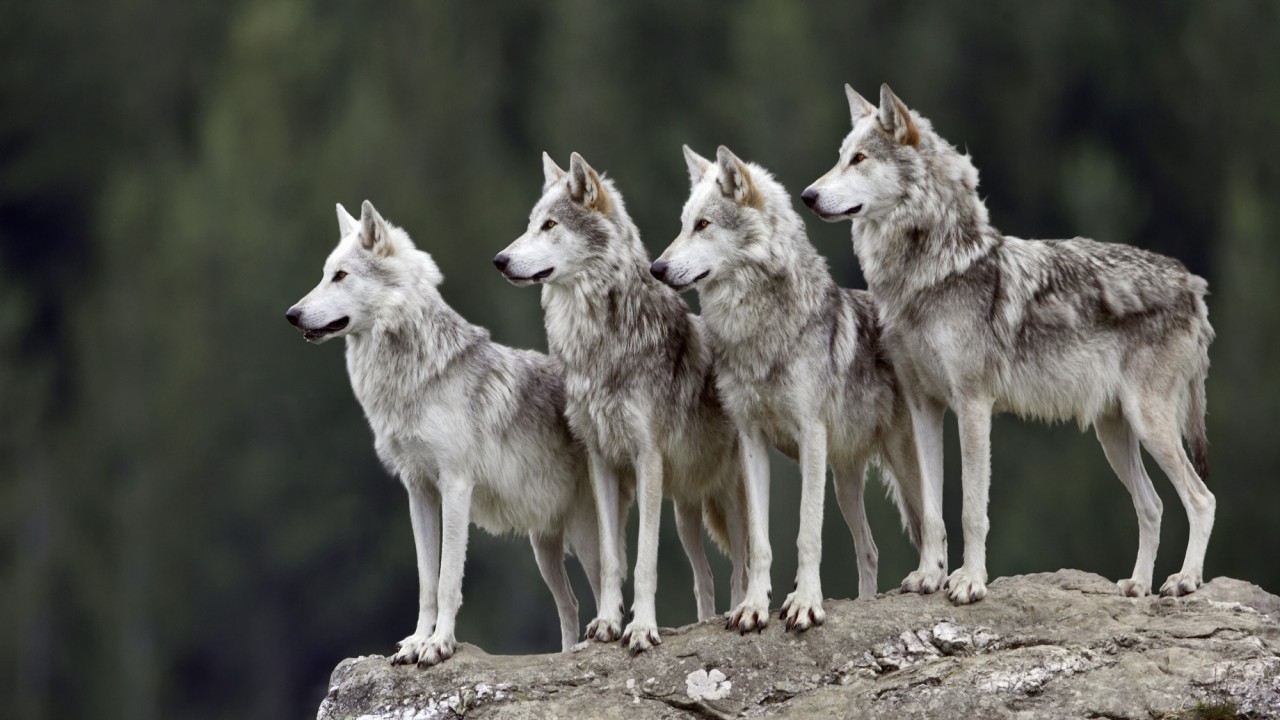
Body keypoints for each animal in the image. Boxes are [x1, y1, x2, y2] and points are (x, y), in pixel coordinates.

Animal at [285, 201, 603, 666]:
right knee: (572, 605)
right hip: (543, 547)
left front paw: (439, 645)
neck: (414, 378)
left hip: (585, 538)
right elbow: (426, 582)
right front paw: (417, 641)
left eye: (340, 275)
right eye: (325, 274)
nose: (291, 315)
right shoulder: (418, 491)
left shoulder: (455, 487)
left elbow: (449, 578)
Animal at [493, 152, 748, 653]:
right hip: (686, 511)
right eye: (530, 224)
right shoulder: (602, 461)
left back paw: (742, 612)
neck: (599, 344)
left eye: (550, 225)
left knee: (744, 565)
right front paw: (608, 623)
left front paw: (643, 628)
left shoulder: (647, 459)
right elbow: (613, 560)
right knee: (705, 576)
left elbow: (645, 560)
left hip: (729, 497)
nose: (500, 260)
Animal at [651, 145, 927, 632]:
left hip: (901, 464)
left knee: (935, 526)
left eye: (703, 224)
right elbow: (760, 543)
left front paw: (805, 604)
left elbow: (807, 534)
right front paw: (753, 608)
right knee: (870, 549)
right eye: (684, 224)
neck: (758, 333)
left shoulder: (810, 436)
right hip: (844, 481)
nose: (657, 268)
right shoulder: (751, 441)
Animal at [802, 84, 1215, 604]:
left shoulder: (973, 404)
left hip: (1150, 424)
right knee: (1154, 505)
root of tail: (1192, 284)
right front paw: (929, 576)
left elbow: (971, 510)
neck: (929, 274)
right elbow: (932, 512)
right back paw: (1137, 585)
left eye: (859, 159)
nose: (807, 196)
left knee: (1202, 498)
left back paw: (1185, 581)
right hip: (1115, 434)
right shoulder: (924, 408)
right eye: (840, 158)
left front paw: (970, 582)